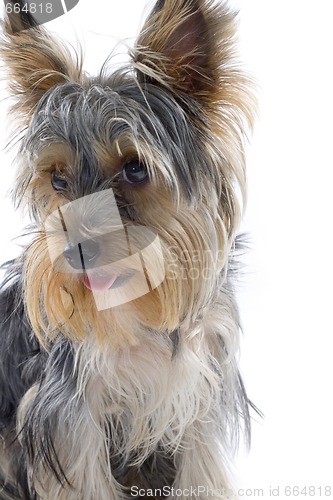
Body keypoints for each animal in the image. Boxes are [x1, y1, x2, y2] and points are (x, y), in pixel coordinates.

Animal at [0, 0, 255, 498]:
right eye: (57, 179)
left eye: (135, 169)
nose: (75, 252)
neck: (137, 309)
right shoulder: (69, 414)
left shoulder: (198, 394)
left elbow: (200, 468)